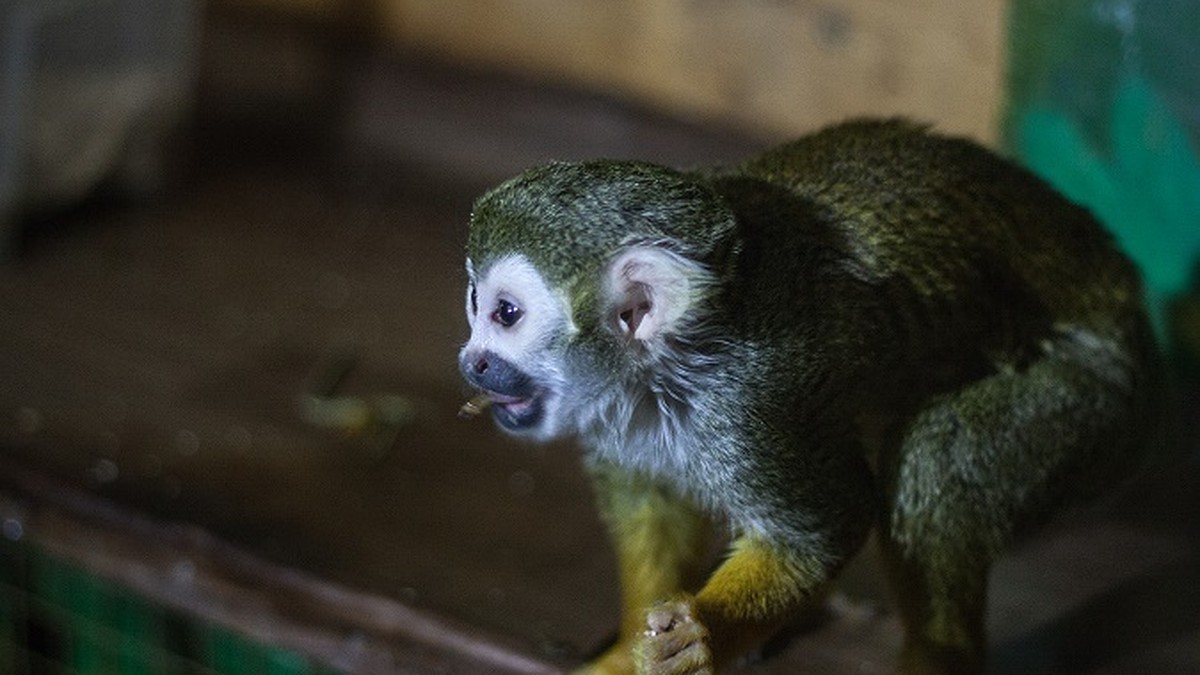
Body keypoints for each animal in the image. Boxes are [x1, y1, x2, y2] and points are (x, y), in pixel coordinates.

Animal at [456, 120, 1152, 672]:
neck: (665, 370)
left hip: (1092, 401)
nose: (472, 363)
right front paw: (628, 655)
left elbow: (829, 524)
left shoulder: (753, 403)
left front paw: (705, 636)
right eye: (474, 303)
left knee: (936, 461)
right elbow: (648, 503)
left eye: (506, 314)